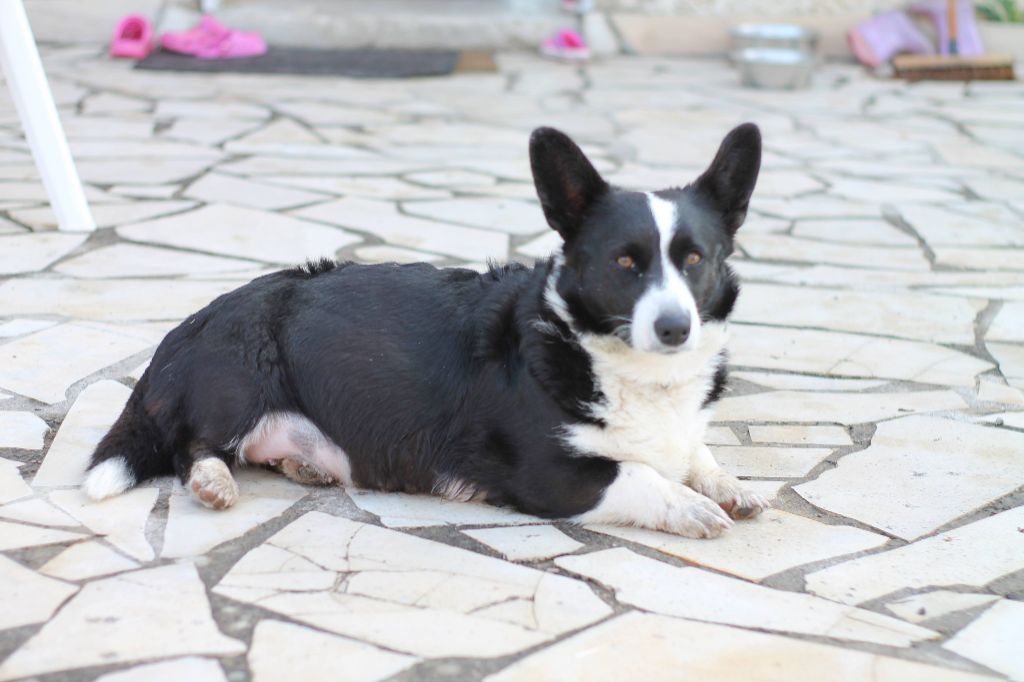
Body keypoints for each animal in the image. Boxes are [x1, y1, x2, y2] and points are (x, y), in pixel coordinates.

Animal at [83, 122, 765, 536]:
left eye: (695, 259)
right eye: (625, 263)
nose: (675, 328)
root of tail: (184, 330)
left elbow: (695, 454)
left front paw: (726, 485)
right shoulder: (553, 474)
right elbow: (643, 475)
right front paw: (693, 506)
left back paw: (305, 466)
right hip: (237, 375)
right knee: (191, 446)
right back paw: (214, 481)